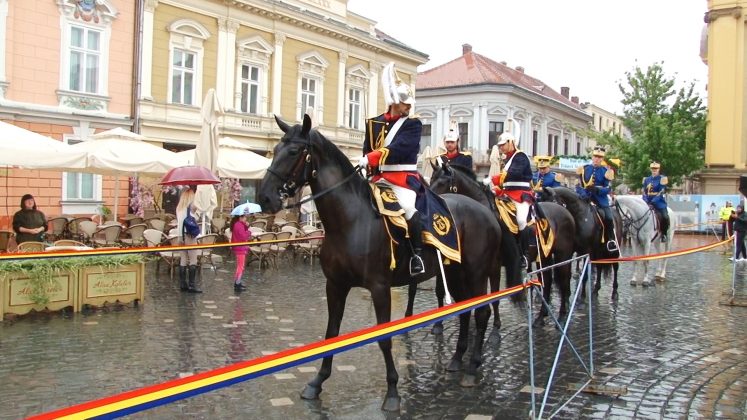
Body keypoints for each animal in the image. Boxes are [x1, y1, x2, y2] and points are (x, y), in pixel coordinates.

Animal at [258, 115, 522, 411]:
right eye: (275, 149)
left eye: (293, 151)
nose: (264, 197)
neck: (350, 221)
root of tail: (486, 211)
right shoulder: (335, 285)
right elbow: (331, 334)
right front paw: (317, 382)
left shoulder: (379, 288)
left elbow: (384, 339)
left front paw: (393, 392)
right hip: (455, 273)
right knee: (465, 311)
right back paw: (456, 361)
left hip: (477, 272)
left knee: (482, 312)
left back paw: (472, 368)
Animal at [429, 163, 576, 325]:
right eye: (431, 180)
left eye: (442, 182)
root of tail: (564, 210)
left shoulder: (494, 265)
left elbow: (494, 296)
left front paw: (495, 326)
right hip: (544, 256)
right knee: (548, 282)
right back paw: (540, 317)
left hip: (563, 256)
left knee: (564, 282)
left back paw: (562, 316)